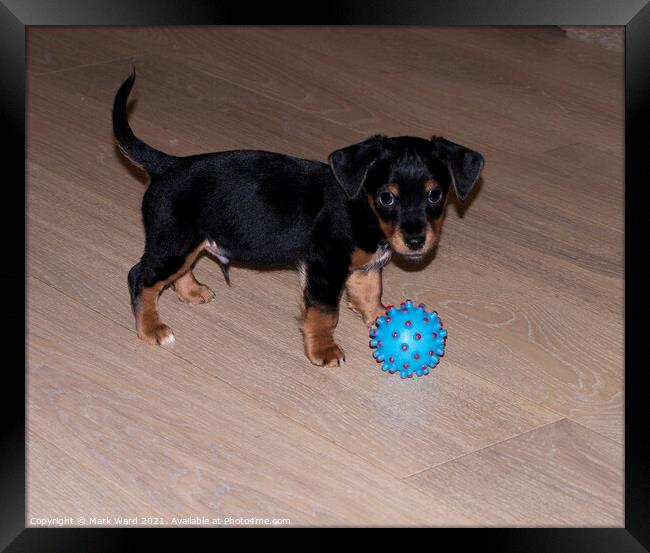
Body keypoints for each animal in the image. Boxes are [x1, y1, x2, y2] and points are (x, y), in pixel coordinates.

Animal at [114, 72, 484, 366]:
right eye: (386, 197)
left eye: (434, 195)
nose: (416, 241)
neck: (363, 209)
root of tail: (168, 165)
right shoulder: (324, 267)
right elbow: (324, 313)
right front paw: (323, 350)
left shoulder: (365, 266)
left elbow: (369, 292)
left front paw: (382, 318)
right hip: (173, 240)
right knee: (140, 277)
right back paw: (151, 329)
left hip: (189, 240)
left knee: (176, 272)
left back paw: (192, 292)